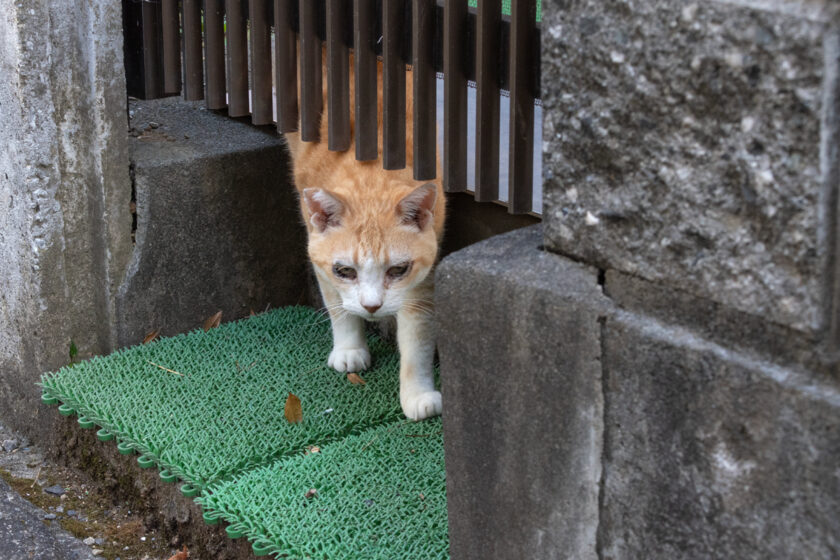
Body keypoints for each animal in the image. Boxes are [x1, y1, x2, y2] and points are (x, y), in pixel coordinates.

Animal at [284, 57, 446, 420]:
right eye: (345, 271)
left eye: (397, 270)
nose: (372, 306)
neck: (370, 171)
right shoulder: (320, 260)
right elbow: (338, 306)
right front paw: (349, 348)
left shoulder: (422, 279)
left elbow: (417, 341)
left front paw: (417, 395)